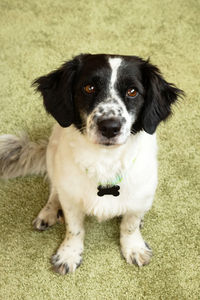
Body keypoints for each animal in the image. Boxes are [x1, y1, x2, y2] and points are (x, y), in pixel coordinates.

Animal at [0, 53, 184, 274]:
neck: (105, 161)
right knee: (54, 190)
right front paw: (68, 254)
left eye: (132, 91)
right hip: (52, 153)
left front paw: (134, 247)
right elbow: (74, 229)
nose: (110, 127)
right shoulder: (71, 199)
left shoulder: (142, 195)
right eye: (89, 87)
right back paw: (49, 212)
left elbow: (130, 225)